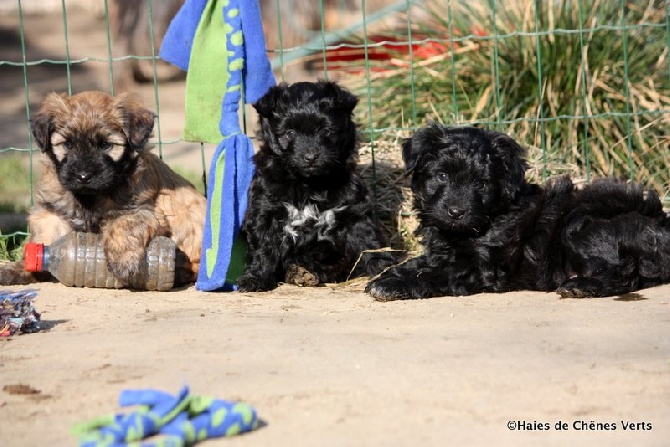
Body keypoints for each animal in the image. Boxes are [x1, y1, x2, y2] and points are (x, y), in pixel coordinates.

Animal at [0, 90, 206, 290]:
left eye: (106, 145)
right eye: (67, 144)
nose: (83, 176)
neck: (89, 197)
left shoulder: (145, 211)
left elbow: (123, 223)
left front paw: (123, 260)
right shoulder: (52, 210)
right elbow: (45, 235)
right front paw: (24, 268)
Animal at [236, 81, 394, 294]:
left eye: (325, 130)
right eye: (290, 133)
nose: (310, 157)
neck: (309, 183)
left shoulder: (355, 212)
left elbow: (370, 242)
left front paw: (384, 270)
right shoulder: (264, 210)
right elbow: (262, 247)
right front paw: (255, 278)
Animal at [368, 122, 670, 300]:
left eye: (481, 184)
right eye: (442, 176)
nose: (456, 212)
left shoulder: (483, 266)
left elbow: (439, 273)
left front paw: (394, 285)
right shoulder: (443, 252)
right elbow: (421, 263)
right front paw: (388, 276)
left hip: (582, 226)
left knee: (625, 272)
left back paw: (582, 286)